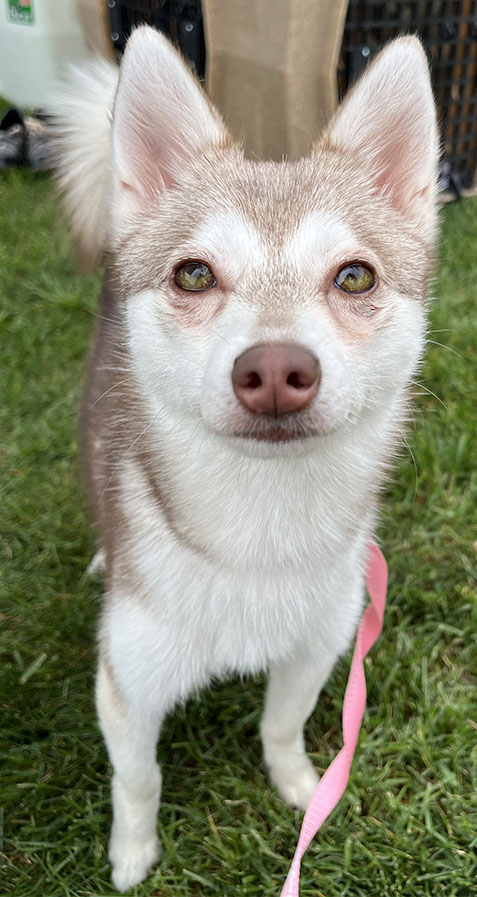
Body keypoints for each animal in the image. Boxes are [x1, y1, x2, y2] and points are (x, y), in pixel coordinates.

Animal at [51, 26, 439, 891]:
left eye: (353, 275)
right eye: (194, 273)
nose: (274, 370)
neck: (259, 533)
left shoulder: (319, 643)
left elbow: (282, 723)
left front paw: (300, 787)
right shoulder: (126, 682)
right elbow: (138, 777)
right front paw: (132, 854)